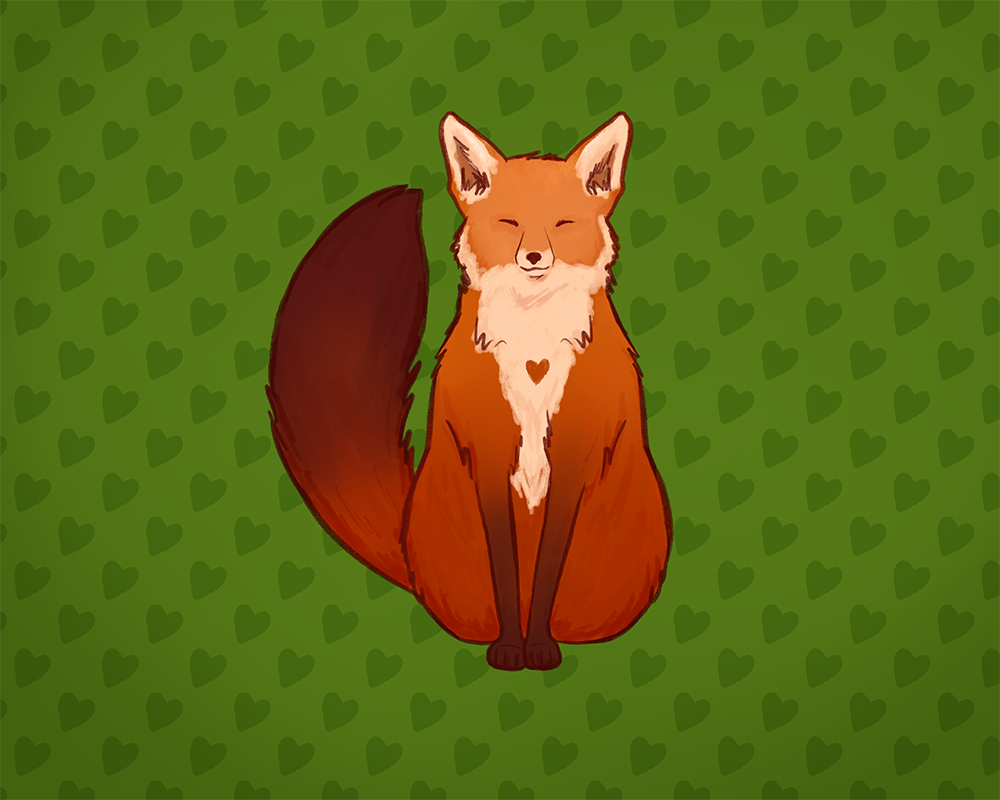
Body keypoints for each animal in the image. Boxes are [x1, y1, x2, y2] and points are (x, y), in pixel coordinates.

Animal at [266, 111, 672, 671]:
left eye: (563, 224)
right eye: (509, 222)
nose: (534, 256)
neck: (533, 342)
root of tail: (409, 559)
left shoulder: (575, 459)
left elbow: (545, 571)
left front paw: (537, 647)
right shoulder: (486, 456)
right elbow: (505, 570)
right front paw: (509, 648)